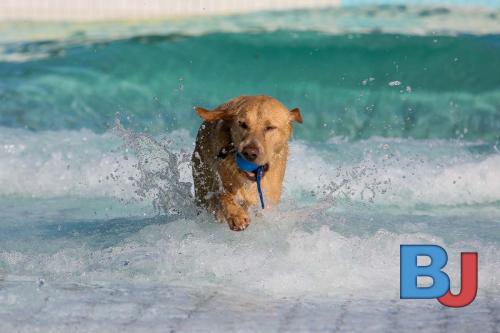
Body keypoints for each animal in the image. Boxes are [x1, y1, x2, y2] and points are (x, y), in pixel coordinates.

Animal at [190, 94, 300, 230]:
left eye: (270, 127)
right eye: (242, 124)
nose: (250, 153)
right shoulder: (217, 188)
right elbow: (223, 196)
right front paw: (236, 215)